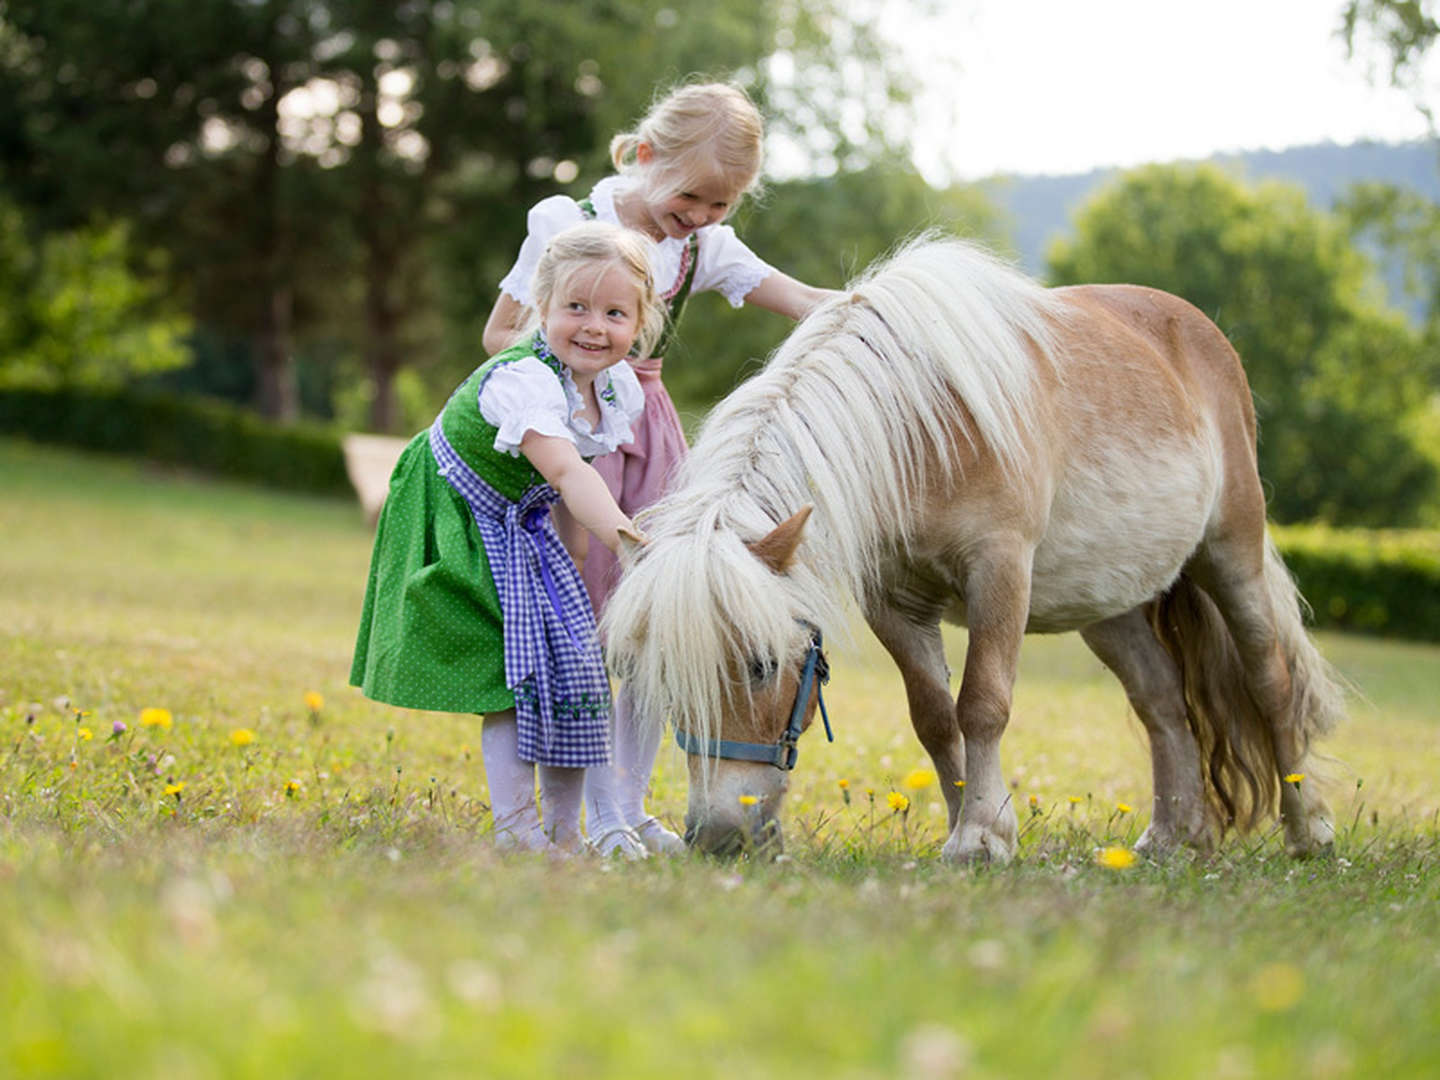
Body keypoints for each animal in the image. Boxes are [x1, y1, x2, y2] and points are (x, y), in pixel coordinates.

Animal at [601, 234, 1342, 864]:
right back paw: (1173, 838)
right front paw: (967, 827)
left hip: (1231, 555)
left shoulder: (999, 572)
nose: (717, 836)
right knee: (1163, 702)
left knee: (1271, 683)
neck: (917, 426)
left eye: (761, 666)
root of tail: (1199, 332)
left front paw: (983, 836)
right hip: (1109, 605)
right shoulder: (893, 603)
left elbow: (983, 704)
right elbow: (935, 718)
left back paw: (1310, 832)